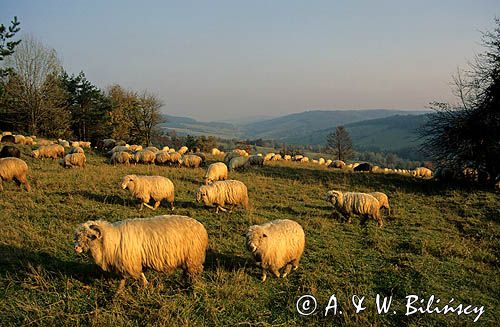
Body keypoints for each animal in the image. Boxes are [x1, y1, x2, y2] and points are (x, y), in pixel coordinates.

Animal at [73, 217, 208, 294]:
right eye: (77, 235)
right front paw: (119, 292)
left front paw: (145, 288)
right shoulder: (127, 263)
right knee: (187, 273)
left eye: (89, 236)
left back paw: (191, 288)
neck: (111, 239)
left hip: (193, 258)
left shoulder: (129, 263)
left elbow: (134, 277)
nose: (76, 247)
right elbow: (128, 277)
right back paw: (184, 285)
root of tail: (201, 226)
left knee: (193, 274)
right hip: (188, 260)